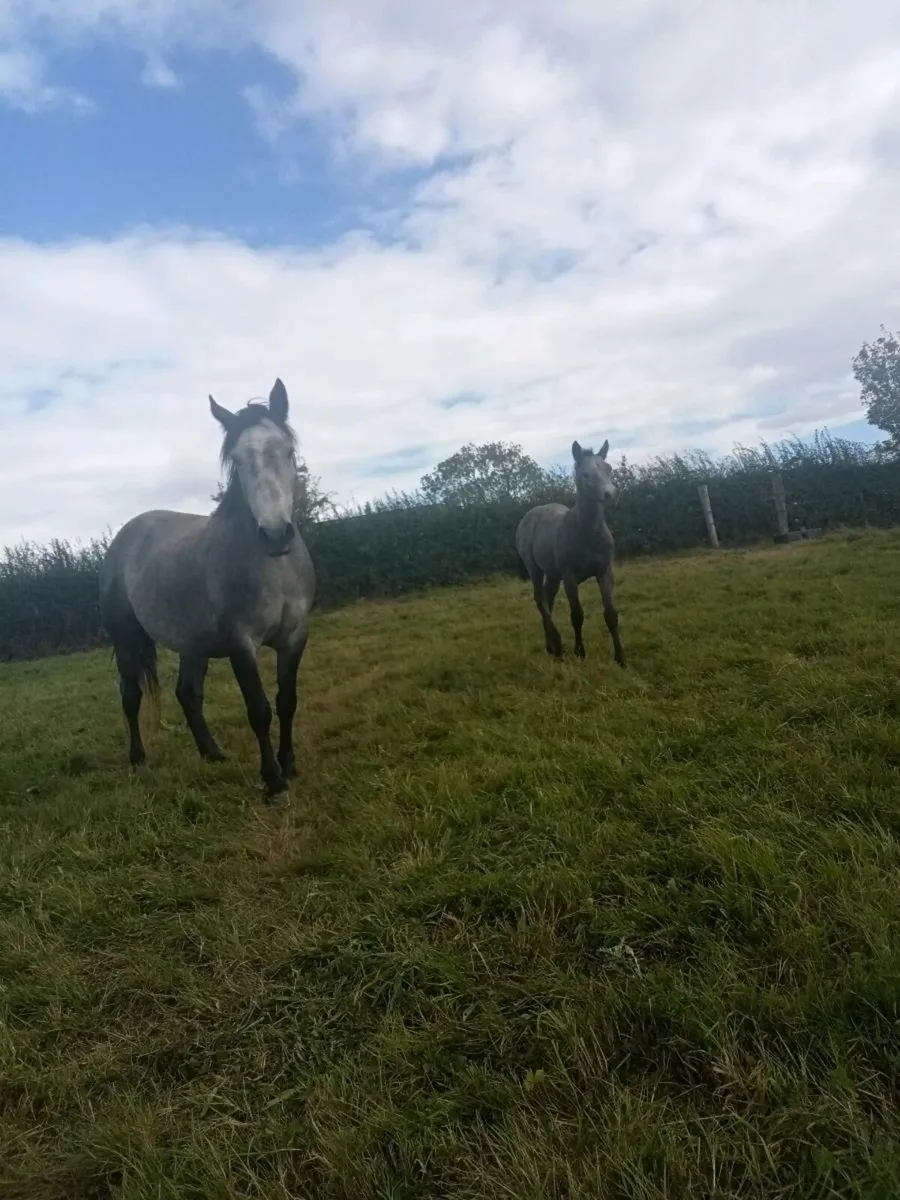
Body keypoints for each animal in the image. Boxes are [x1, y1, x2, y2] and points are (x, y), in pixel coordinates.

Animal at [99, 378, 317, 801]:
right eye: (238, 459)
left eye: (287, 450)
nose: (275, 534)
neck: (275, 568)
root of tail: (125, 536)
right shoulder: (241, 644)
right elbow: (259, 710)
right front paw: (273, 781)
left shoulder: (295, 637)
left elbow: (287, 701)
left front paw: (290, 765)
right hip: (127, 638)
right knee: (131, 696)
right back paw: (138, 760)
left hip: (192, 643)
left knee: (187, 694)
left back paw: (212, 753)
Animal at [515, 438, 625, 666]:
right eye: (585, 474)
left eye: (608, 468)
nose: (610, 495)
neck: (585, 532)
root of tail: (530, 515)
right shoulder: (570, 577)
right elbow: (577, 615)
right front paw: (580, 652)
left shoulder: (605, 571)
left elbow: (611, 614)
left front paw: (621, 658)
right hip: (535, 569)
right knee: (540, 600)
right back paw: (557, 646)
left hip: (553, 574)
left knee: (548, 599)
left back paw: (551, 647)